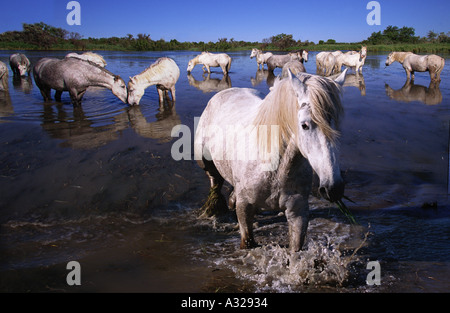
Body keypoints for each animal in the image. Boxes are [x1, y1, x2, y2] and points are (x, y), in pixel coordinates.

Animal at [194, 69, 348, 251]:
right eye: (304, 125)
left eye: (336, 125)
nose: (334, 188)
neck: (275, 168)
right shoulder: (244, 208)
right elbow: (247, 240)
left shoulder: (298, 213)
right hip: (205, 162)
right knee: (215, 181)